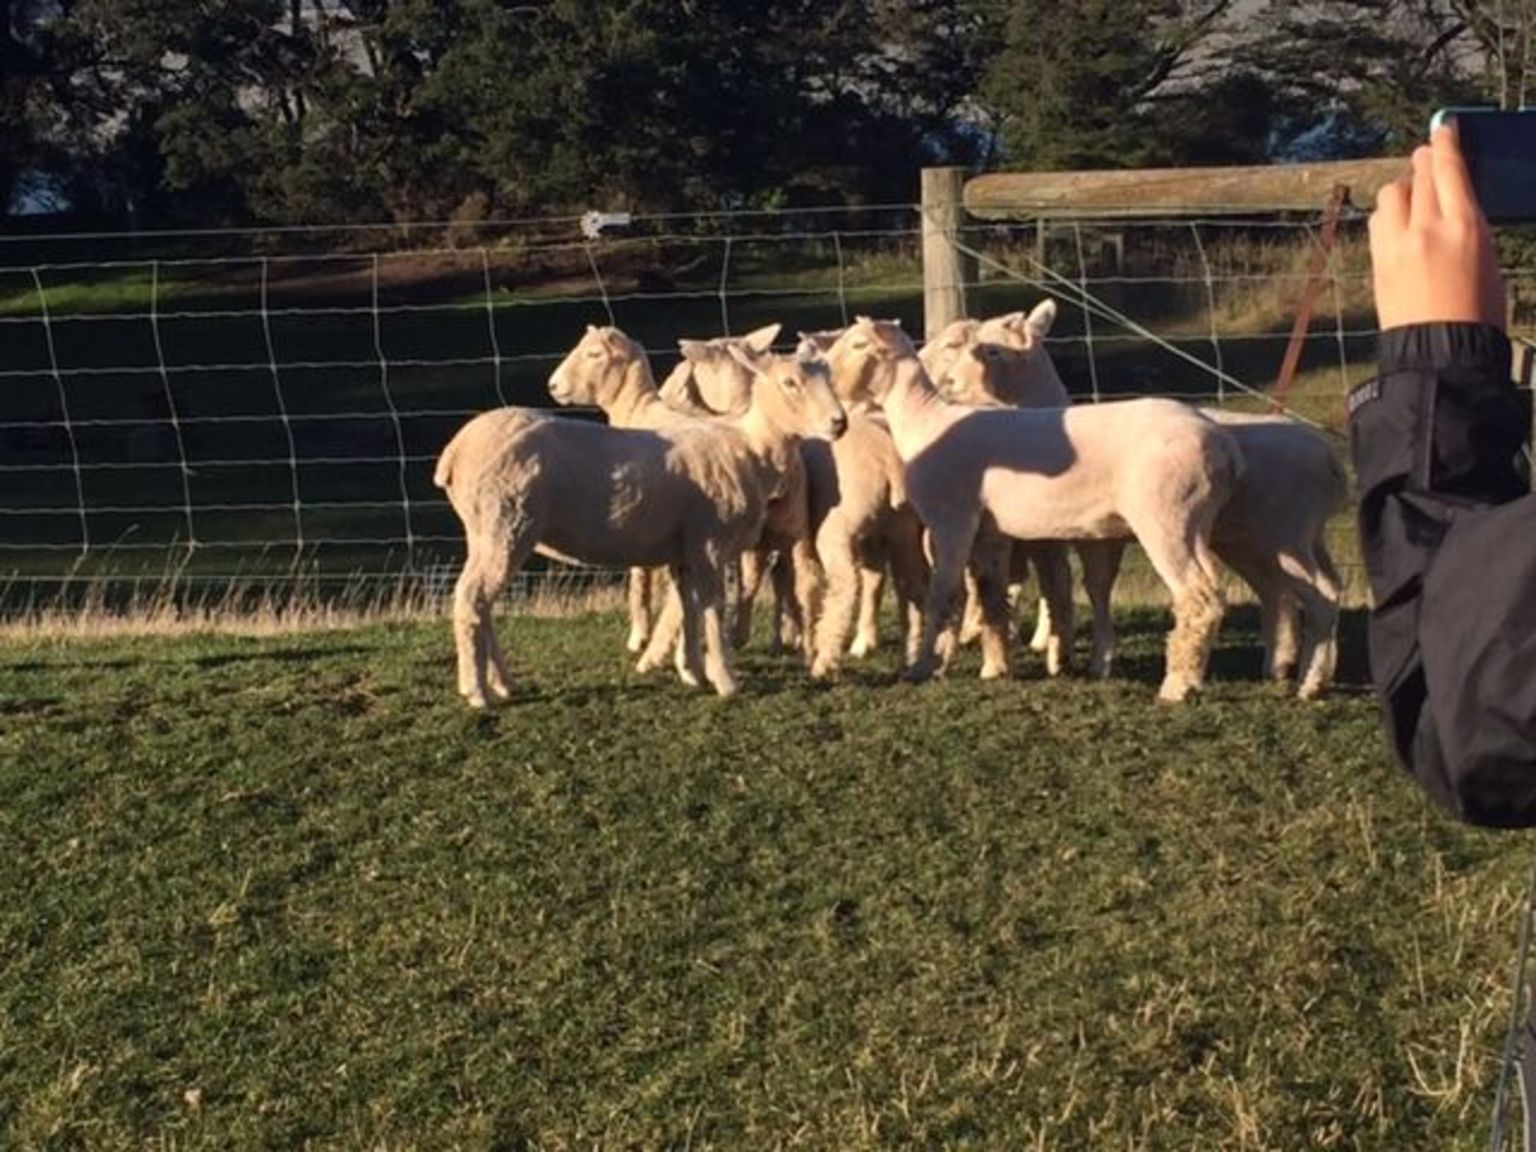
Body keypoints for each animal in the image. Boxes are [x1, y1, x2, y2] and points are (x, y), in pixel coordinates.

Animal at [434, 324, 846, 707]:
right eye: (790, 382)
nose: (839, 423)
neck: (750, 447)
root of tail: (455, 451)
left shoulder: (685, 549)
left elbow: (688, 605)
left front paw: (692, 671)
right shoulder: (709, 542)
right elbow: (712, 606)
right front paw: (725, 679)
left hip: (485, 530)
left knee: (481, 602)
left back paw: (502, 683)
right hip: (506, 523)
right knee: (472, 599)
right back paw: (477, 691)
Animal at [823, 316, 1243, 702]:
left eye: (858, 344)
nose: (830, 383)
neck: (924, 421)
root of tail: (1223, 445)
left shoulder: (951, 520)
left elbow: (944, 593)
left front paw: (924, 667)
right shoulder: (988, 532)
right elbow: (990, 593)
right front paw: (996, 666)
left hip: (1167, 517)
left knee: (1199, 596)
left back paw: (1178, 685)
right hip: (1193, 521)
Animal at [932, 302, 1346, 698]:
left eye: (988, 348)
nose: (945, 385)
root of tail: (1329, 459)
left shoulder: (1061, 535)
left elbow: (1051, 583)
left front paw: (1038, 650)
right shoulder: (1094, 536)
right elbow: (1091, 586)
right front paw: (1092, 659)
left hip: (1240, 530)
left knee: (1262, 594)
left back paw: (1198, 683)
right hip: (1267, 540)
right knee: (1295, 591)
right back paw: (1293, 671)